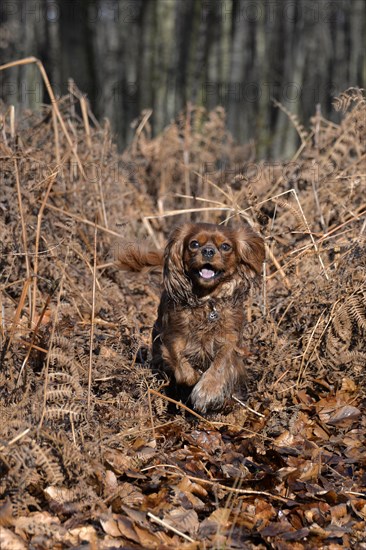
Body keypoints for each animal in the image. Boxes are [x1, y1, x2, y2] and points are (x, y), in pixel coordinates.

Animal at [118, 224, 264, 414]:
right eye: (194, 244)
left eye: (226, 246)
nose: (208, 251)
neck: (206, 302)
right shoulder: (172, 336)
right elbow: (181, 366)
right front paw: (195, 377)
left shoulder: (230, 339)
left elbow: (221, 361)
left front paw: (207, 391)